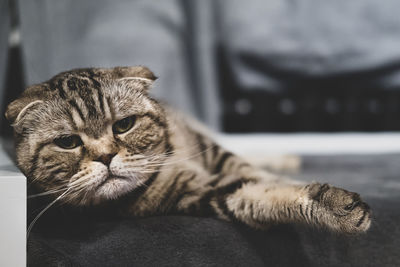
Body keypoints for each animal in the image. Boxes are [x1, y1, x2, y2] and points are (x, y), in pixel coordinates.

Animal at [4, 66, 372, 234]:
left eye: (124, 125)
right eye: (68, 142)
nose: (106, 156)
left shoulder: (214, 152)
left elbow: (259, 176)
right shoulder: (207, 195)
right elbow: (262, 194)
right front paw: (334, 206)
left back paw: (286, 157)